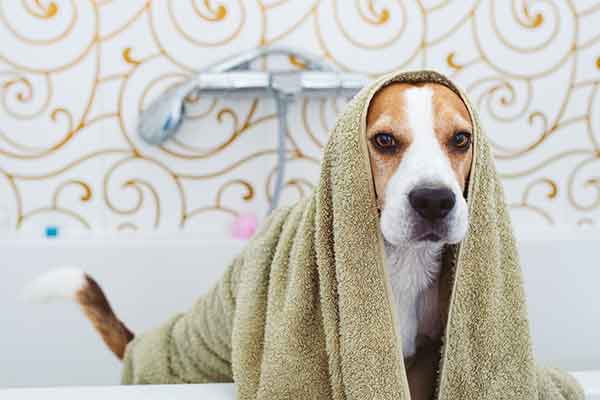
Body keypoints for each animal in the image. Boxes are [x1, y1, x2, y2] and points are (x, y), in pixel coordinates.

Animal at [24, 80, 474, 396]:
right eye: (384, 140)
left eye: (461, 139)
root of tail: (138, 347)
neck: (404, 264)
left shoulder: (423, 360)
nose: (434, 201)